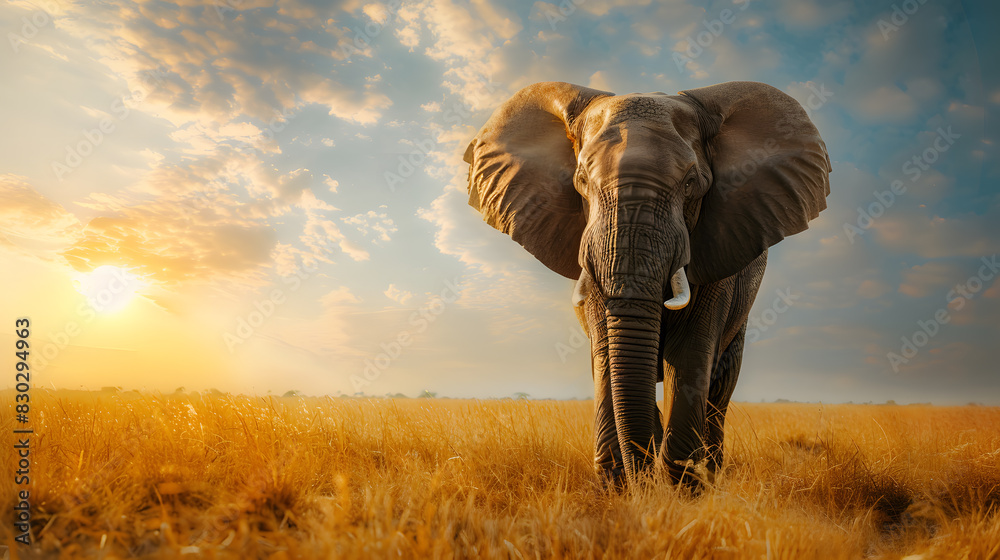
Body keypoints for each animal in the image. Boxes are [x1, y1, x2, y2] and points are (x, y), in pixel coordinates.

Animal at [462, 81, 831, 488]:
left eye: (691, 183)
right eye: (582, 181)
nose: (642, 483)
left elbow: (690, 353)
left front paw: (684, 488)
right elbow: (606, 353)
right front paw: (620, 486)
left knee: (720, 388)